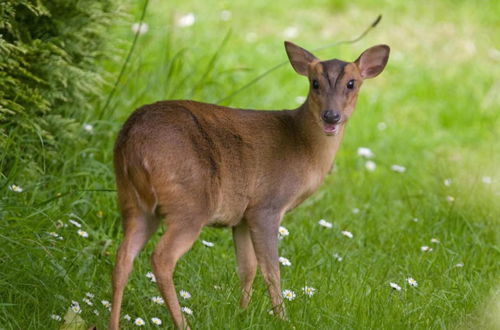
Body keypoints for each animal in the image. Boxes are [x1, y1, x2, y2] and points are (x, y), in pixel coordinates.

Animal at [109, 40, 390, 328]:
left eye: (352, 83)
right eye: (314, 83)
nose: (331, 116)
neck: (304, 147)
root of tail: (133, 141)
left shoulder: (242, 216)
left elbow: (247, 267)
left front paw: (241, 313)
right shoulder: (267, 206)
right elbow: (271, 271)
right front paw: (282, 318)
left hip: (132, 200)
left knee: (122, 257)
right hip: (190, 203)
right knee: (161, 257)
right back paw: (183, 323)